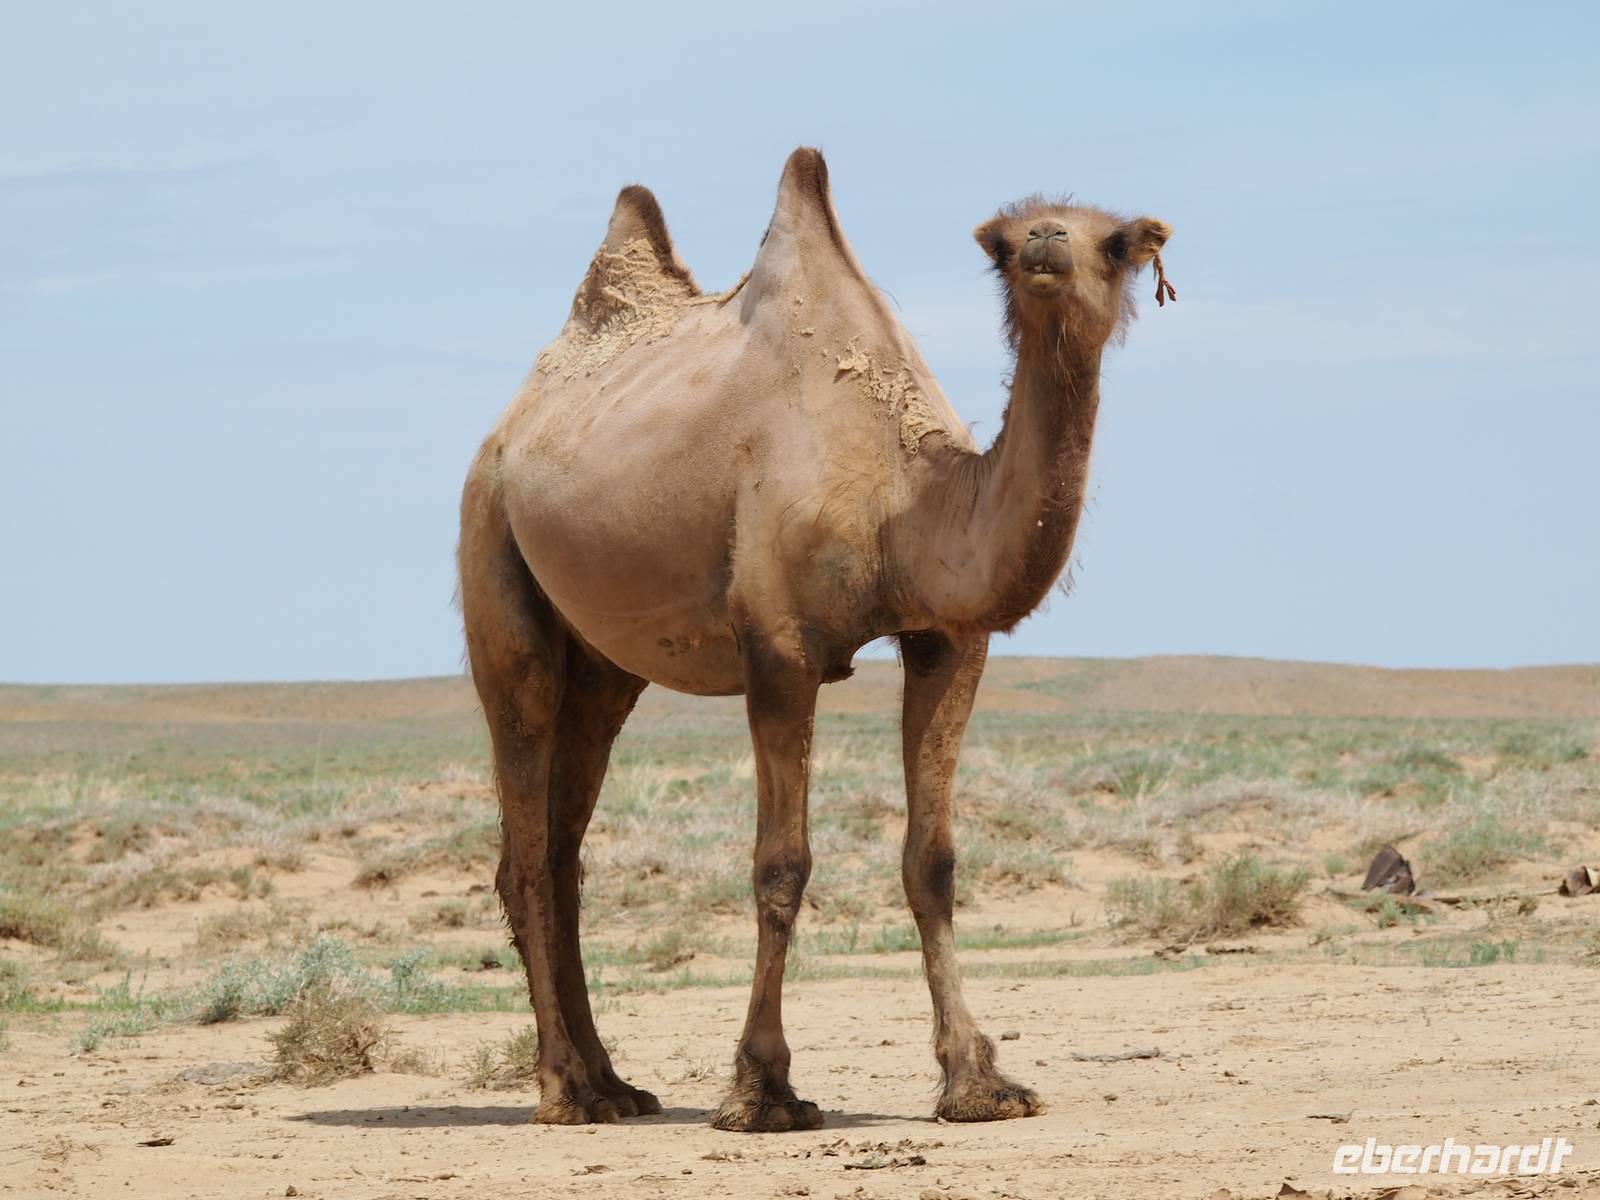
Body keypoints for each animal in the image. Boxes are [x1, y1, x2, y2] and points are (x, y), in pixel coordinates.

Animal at [458, 147, 1173, 1132]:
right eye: (1004, 240)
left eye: (1118, 240)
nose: (1044, 242)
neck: (899, 501)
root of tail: (509, 426)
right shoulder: (781, 649)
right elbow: (781, 865)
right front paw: (762, 1090)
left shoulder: (948, 638)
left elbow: (933, 861)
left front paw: (979, 1082)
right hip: (493, 555)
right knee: (526, 846)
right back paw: (564, 1088)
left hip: (602, 669)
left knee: (564, 849)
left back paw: (613, 1082)